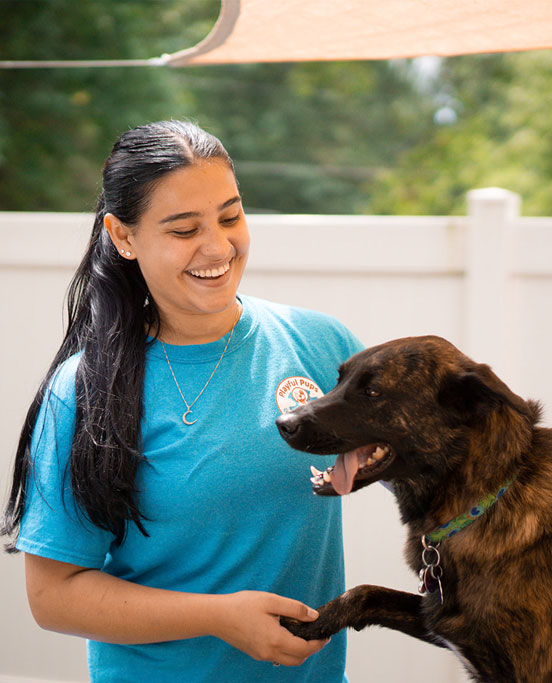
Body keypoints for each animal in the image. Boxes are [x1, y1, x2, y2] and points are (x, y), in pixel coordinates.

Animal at [278, 336, 552, 683]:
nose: (282, 424)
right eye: (339, 380)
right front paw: (310, 622)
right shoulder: (435, 613)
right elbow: (365, 592)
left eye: (373, 392)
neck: (480, 502)